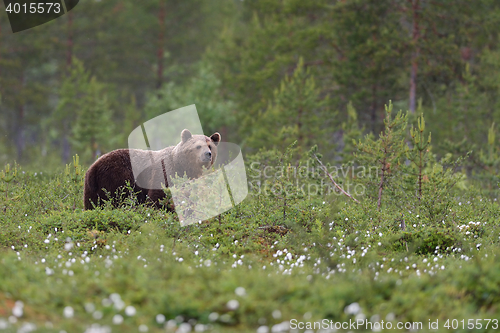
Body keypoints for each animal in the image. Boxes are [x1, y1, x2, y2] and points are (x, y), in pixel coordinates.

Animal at [84, 128, 221, 209]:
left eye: (210, 146)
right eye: (198, 146)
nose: (207, 154)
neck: (181, 166)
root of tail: (94, 166)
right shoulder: (164, 173)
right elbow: (158, 196)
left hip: (92, 188)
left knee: (92, 203)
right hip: (117, 175)